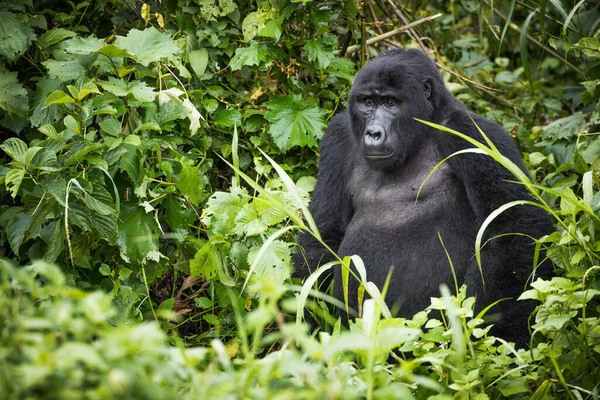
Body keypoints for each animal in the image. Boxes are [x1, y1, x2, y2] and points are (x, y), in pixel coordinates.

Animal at [296, 47, 552, 344]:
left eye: (391, 102)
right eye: (367, 102)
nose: (373, 133)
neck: (424, 127)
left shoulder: (471, 132)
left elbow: (514, 225)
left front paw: (505, 332)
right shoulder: (338, 137)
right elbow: (324, 234)